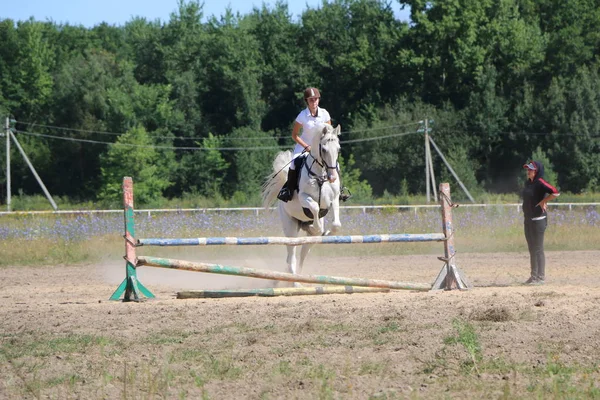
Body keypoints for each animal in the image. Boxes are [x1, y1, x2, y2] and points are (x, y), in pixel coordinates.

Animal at [262, 123, 342, 280]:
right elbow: (315, 208)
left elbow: (336, 224)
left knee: (303, 252)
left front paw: (327, 232)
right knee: (291, 257)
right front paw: (318, 228)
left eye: (338, 149)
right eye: (324, 149)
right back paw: (294, 281)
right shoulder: (304, 198)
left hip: (307, 236)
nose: (332, 177)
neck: (320, 176)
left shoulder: (334, 199)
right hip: (290, 227)